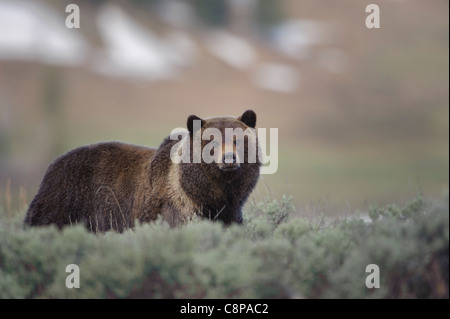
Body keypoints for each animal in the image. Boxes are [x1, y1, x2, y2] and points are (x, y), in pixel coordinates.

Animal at [24, 110, 262, 232]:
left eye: (237, 139)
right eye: (212, 141)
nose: (229, 159)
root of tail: (52, 164)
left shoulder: (229, 213)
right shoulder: (165, 209)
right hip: (66, 202)